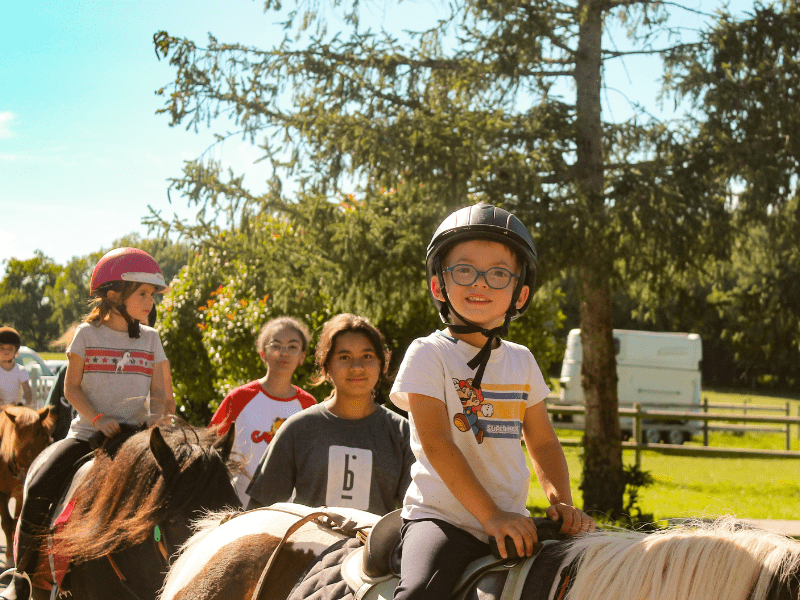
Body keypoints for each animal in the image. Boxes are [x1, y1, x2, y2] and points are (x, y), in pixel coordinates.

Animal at [0, 408, 55, 568]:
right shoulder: (1, 494)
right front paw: (9, 558)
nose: (28, 476)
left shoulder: (20, 494)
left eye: (44, 439)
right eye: (16, 441)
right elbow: (6, 523)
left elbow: (15, 522)